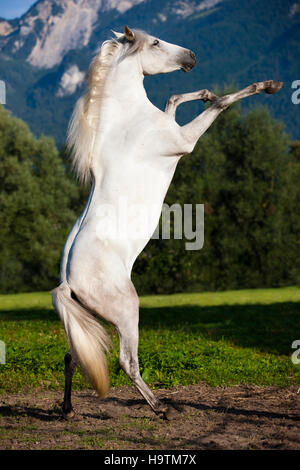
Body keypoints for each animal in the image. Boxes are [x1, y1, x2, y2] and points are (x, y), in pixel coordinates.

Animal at [52, 26, 282, 418]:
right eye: (156, 43)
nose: (191, 56)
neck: (129, 123)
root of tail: (68, 283)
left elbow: (174, 99)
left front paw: (203, 91)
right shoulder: (184, 141)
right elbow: (223, 104)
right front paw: (267, 85)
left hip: (84, 322)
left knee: (73, 356)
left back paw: (67, 409)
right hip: (127, 311)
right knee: (126, 362)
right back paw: (161, 407)